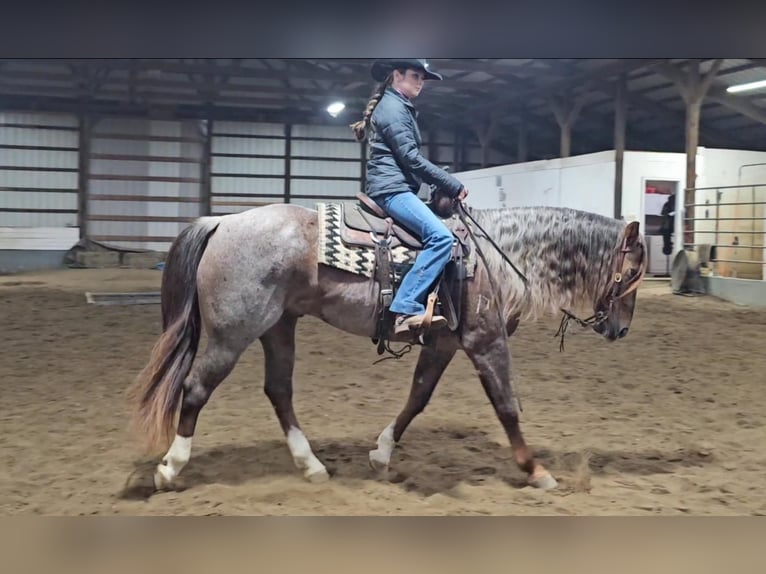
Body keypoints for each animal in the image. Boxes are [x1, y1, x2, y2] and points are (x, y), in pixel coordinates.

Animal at [126, 192, 648, 496]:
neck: (494, 256)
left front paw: (380, 453)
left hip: (278, 327)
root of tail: (223, 222)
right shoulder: (485, 340)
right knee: (196, 389)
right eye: (632, 272)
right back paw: (170, 469)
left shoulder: (443, 343)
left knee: (279, 391)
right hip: (233, 332)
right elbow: (507, 406)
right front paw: (536, 470)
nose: (622, 330)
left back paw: (312, 466)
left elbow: (417, 398)